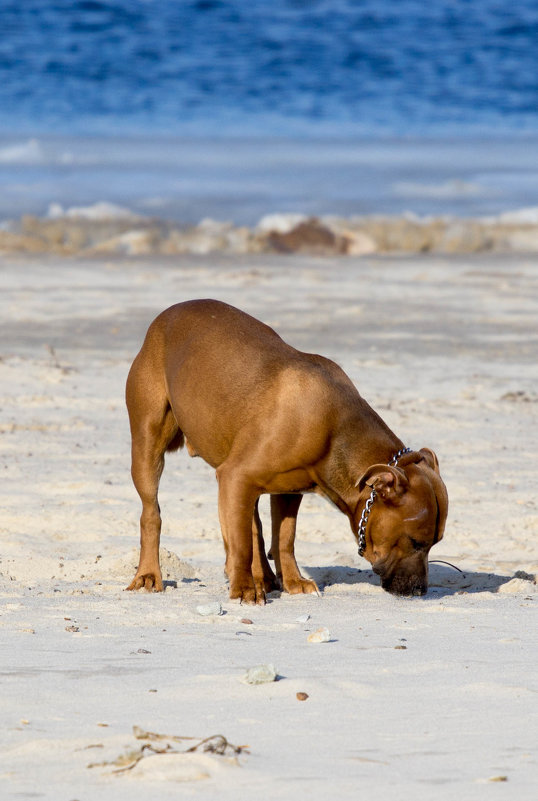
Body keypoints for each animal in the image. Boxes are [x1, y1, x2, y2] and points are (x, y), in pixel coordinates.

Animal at [126, 298, 448, 600]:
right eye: (415, 542)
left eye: (436, 542)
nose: (420, 590)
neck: (334, 428)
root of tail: (166, 314)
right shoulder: (235, 476)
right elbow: (241, 544)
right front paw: (243, 588)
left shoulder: (287, 491)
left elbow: (284, 538)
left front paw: (292, 581)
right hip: (148, 447)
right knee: (151, 513)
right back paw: (149, 574)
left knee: (252, 525)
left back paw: (264, 578)